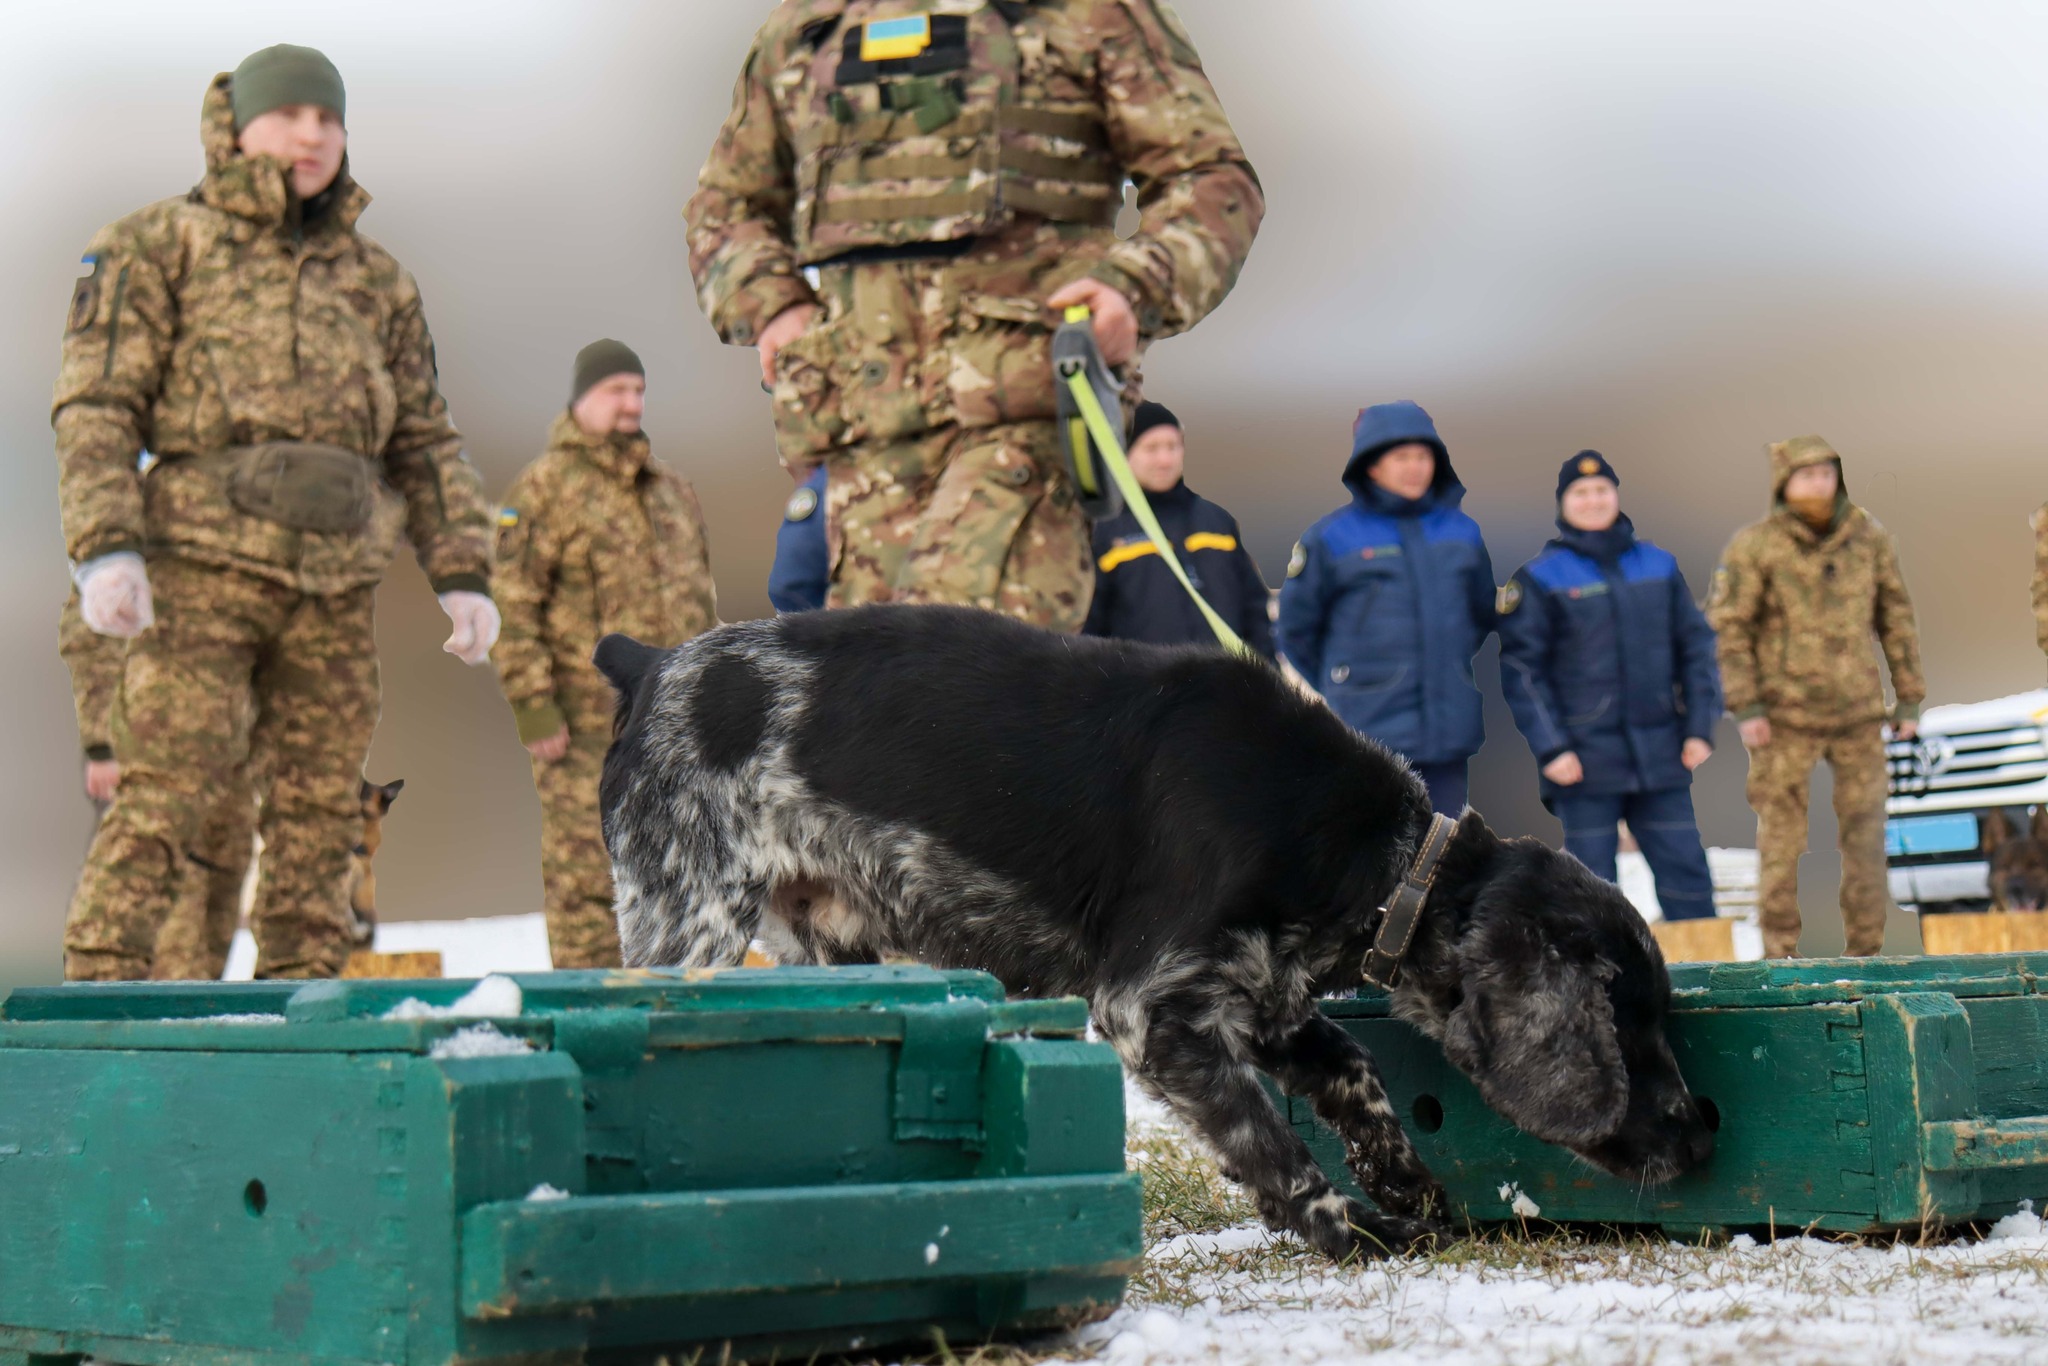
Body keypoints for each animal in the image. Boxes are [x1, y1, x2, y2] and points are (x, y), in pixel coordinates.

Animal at [589, 610, 1712, 1261]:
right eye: (1629, 1026)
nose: (1703, 1130)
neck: (1372, 855)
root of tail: (649, 660)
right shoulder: (1151, 1007)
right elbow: (1267, 1141)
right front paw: (1351, 1228)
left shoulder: (1263, 994)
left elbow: (1357, 1075)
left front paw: (1409, 1185)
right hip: (688, 924)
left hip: (838, 952)